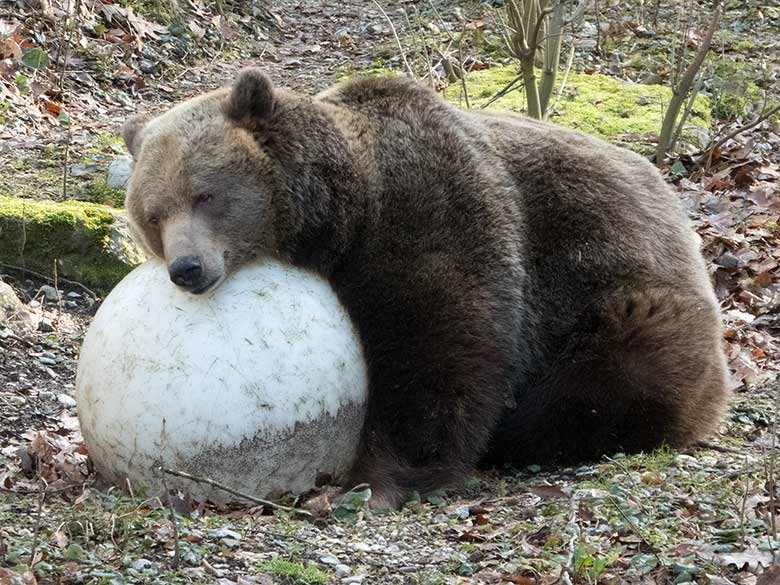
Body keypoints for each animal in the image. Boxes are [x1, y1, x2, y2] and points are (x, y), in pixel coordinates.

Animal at [122, 67, 732, 506]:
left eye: (205, 195)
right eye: (153, 214)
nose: (187, 267)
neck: (346, 213)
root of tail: (680, 219)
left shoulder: (432, 214)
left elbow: (441, 354)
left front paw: (372, 482)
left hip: (619, 296)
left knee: (607, 379)